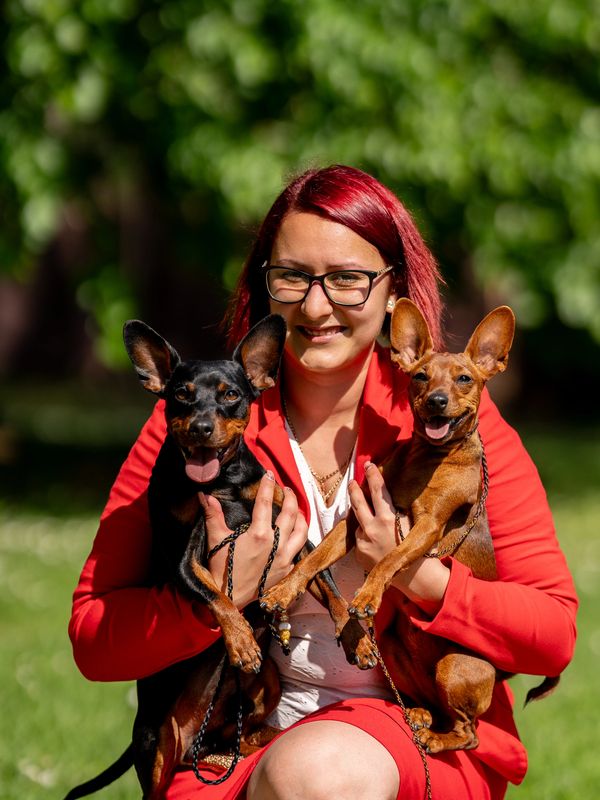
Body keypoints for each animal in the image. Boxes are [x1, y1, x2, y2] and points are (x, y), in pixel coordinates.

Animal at [65, 313, 371, 800]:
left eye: (230, 395)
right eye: (181, 395)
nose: (201, 427)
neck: (220, 484)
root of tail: (199, 741)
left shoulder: (297, 541)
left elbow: (325, 584)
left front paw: (355, 637)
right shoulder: (184, 561)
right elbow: (218, 597)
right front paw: (242, 641)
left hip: (267, 685)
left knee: (247, 735)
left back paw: (255, 741)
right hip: (157, 742)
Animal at [261, 298, 559, 754]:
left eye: (464, 379)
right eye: (420, 376)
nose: (437, 400)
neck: (424, 458)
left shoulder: (426, 528)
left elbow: (390, 559)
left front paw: (367, 595)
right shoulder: (353, 522)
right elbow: (313, 562)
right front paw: (283, 589)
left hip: (454, 666)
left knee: (469, 733)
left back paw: (434, 739)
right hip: (397, 650)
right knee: (434, 707)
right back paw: (419, 715)